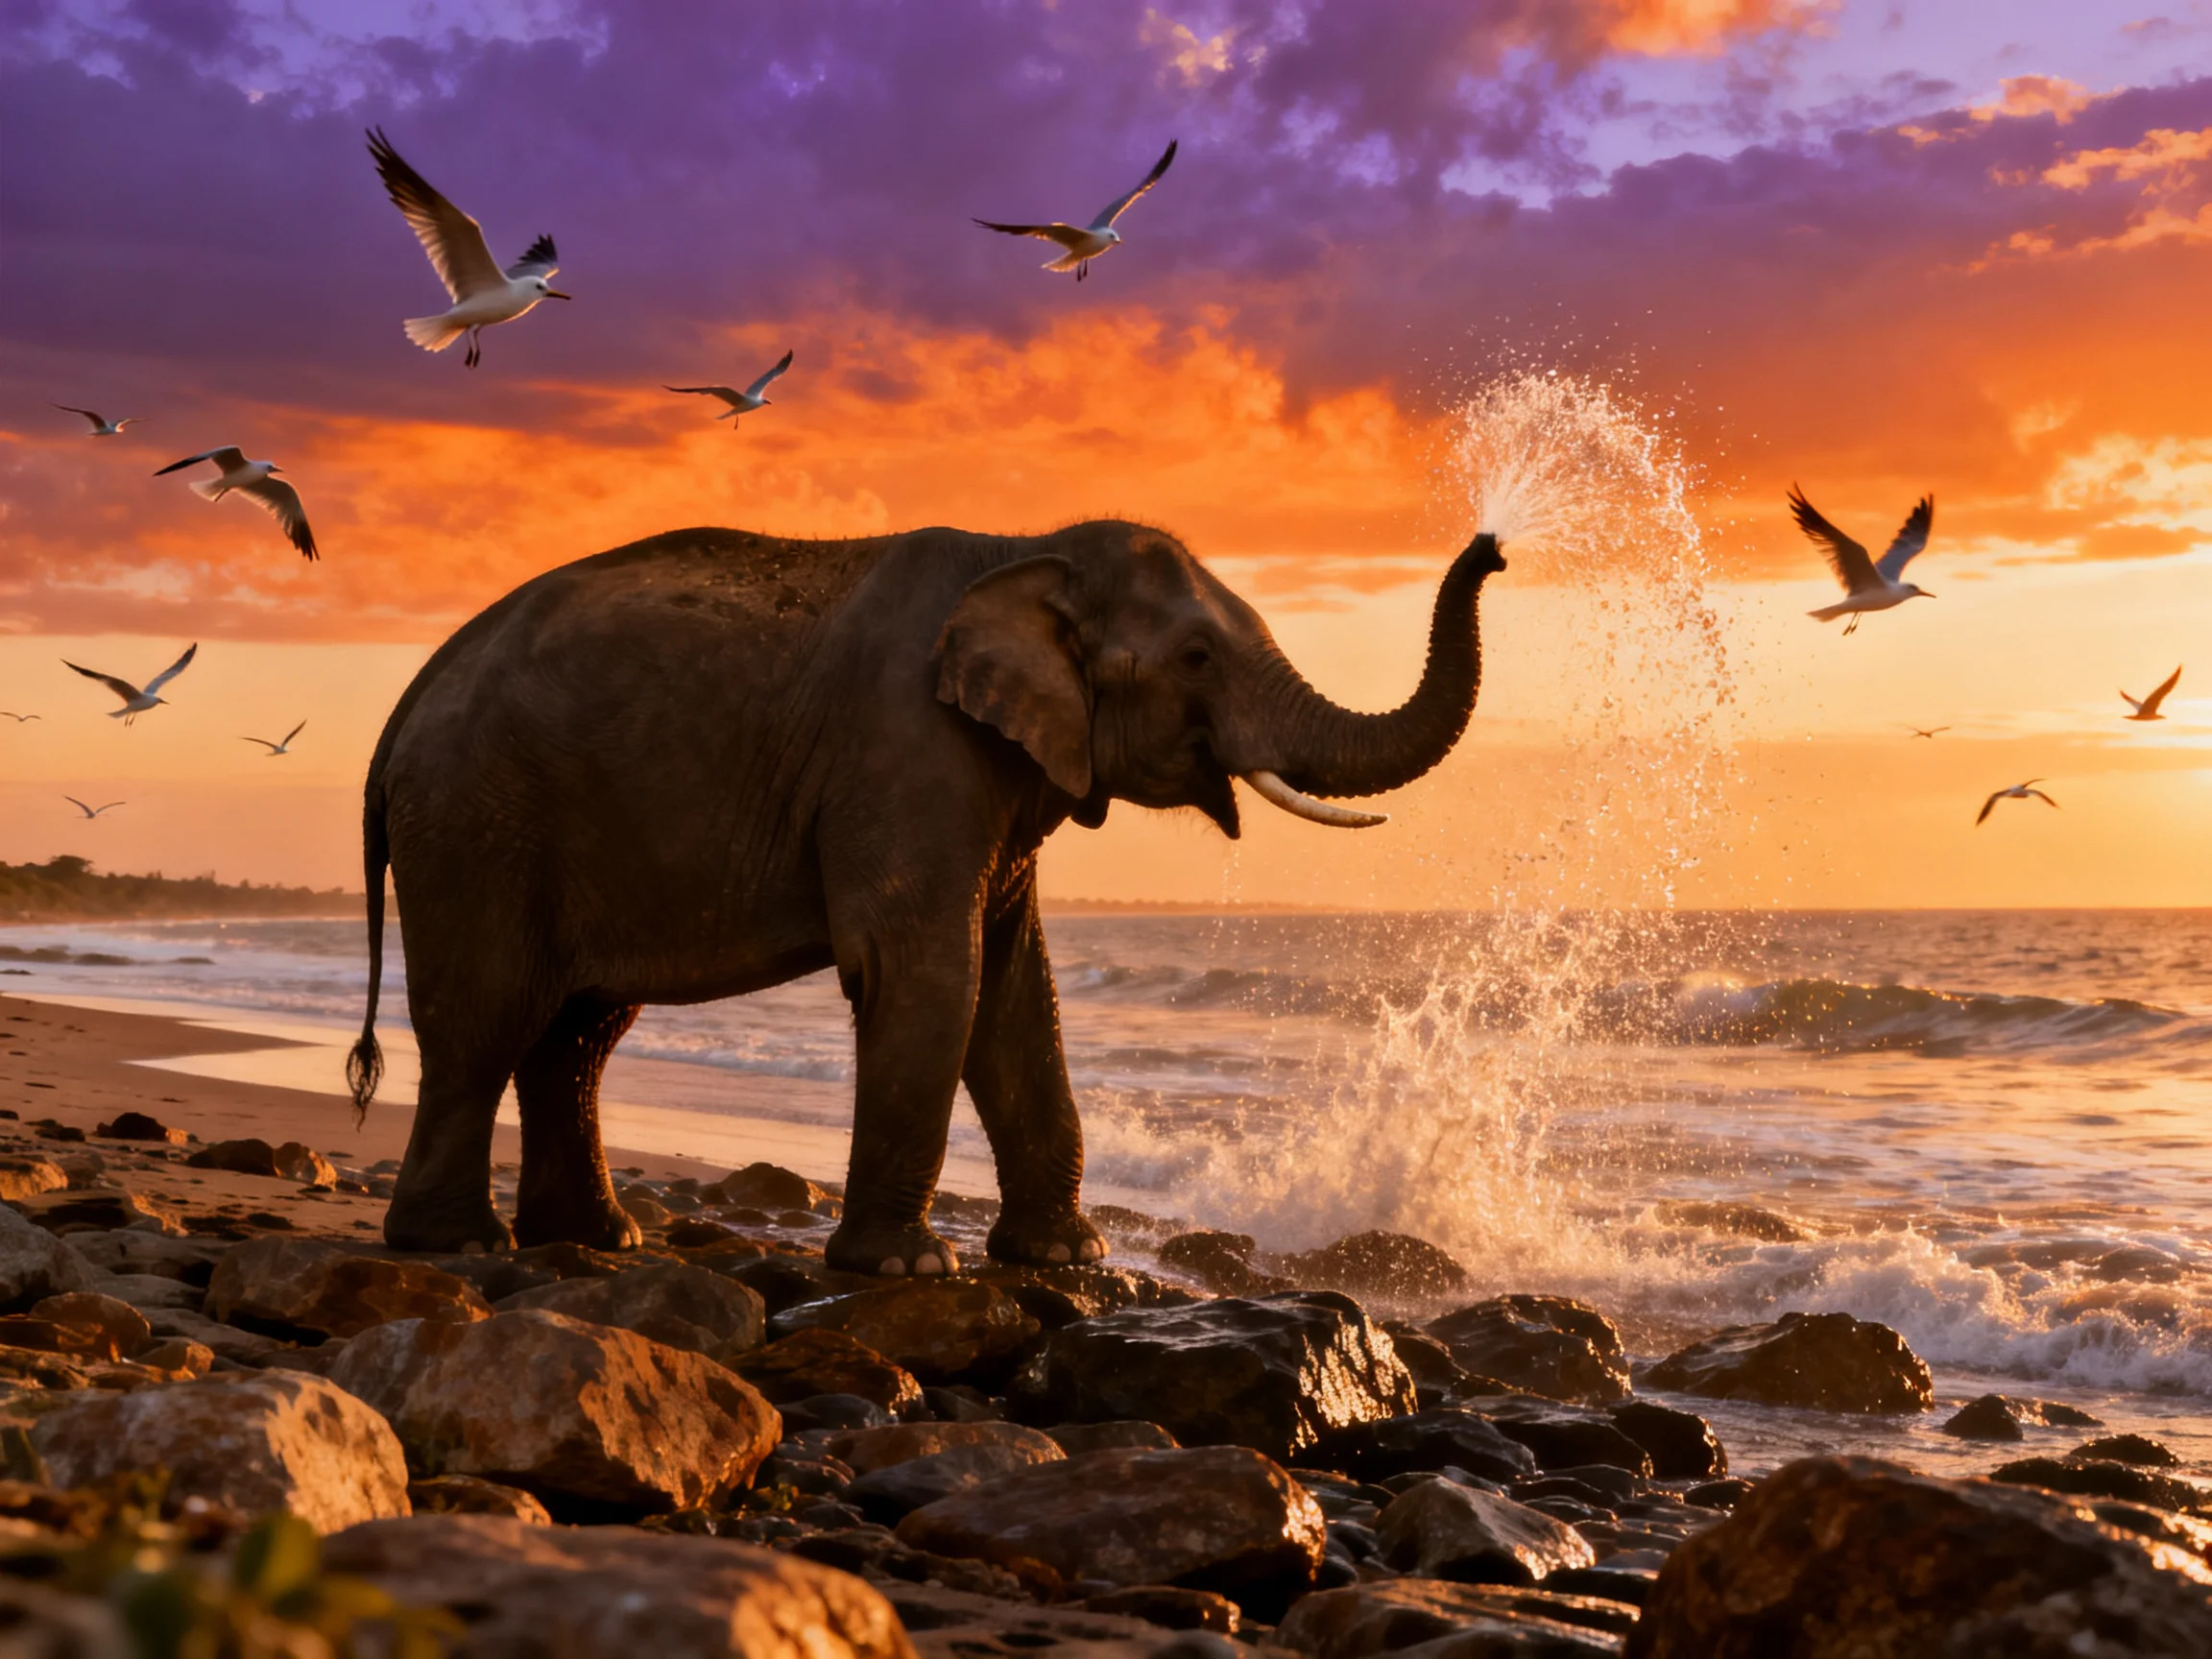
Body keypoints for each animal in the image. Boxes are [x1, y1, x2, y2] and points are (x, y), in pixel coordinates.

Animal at [346, 519, 1506, 1274]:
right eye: (1195, 656)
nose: (1494, 546)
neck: (1024, 546)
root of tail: (402, 708)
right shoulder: (906, 752)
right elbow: (931, 974)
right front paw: (907, 1271)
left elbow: (1014, 989)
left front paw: (1066, 1257)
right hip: (477, 824)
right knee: (489, 1019)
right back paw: (455, 1242)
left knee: (579, 1032)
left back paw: (595, 1239)